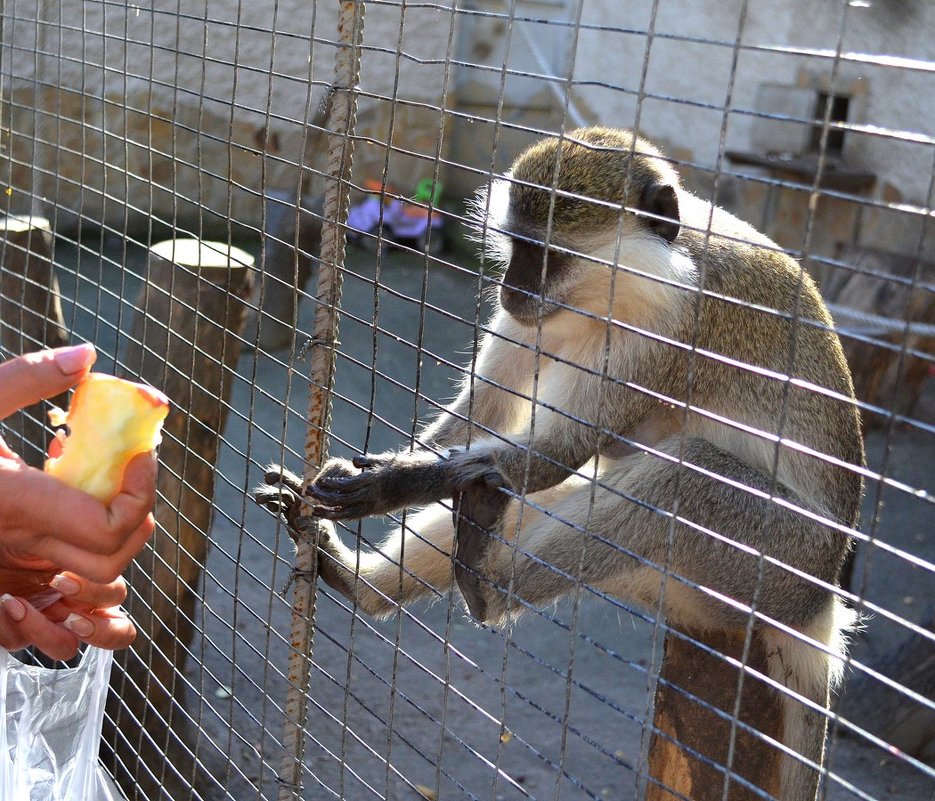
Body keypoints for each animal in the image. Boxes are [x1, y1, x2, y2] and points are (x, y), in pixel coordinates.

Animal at [256, 125, 864, 800]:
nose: (511, 288)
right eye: (517, 245)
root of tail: (820, 611)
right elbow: (485, 418)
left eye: (545, 254)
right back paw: (362, 583)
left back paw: (487, 590)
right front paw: (385, 469)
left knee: (680, 476)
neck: (637, 281)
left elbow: (555, 454)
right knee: (513, 490)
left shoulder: (672, 327)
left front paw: (393, 484)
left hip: (779, 565)